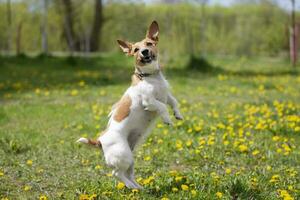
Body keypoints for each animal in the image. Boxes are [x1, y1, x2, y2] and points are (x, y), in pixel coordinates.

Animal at [77, 20, 183, 189]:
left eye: (149, 43)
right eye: (135, 50)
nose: (144, 52)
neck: (150, 77)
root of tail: (100, 141)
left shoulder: (165, 95)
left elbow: (173, 101)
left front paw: (178, 114)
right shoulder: (149, 101)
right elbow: (161, 106)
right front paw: (167, 119)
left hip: (131, 158)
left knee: (127, 174)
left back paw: (139, 187)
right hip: (124, 155)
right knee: (117, 174)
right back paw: (132, 187)